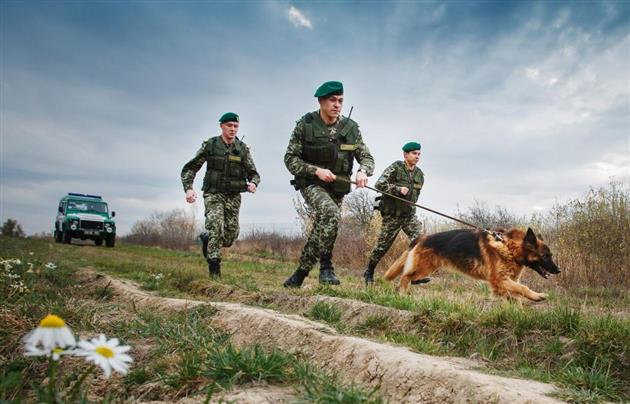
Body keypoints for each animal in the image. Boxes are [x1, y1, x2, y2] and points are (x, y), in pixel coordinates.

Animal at [386, 227, 564, 300]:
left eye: (550, 255)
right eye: (545, 256)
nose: (558, 270)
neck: (508, 247)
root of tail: (422, 237)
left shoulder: (503, 282)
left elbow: (517, 292)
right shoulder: (500, 279)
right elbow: (523, 288)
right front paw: (536, 296)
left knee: (408, 277)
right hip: (424, 267)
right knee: (405, 277)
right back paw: (402, 294)